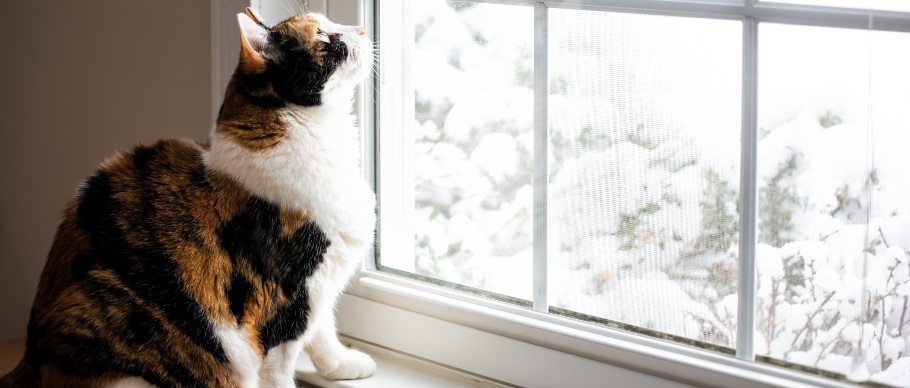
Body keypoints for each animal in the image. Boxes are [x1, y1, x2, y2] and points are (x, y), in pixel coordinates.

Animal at [0, 9, 378, 388]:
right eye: (324, 37)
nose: (361, 29)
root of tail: (27, 361)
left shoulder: (318, 286)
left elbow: (324, 331)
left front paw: (341, 365)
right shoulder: (281, 304)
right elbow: (279, 372)